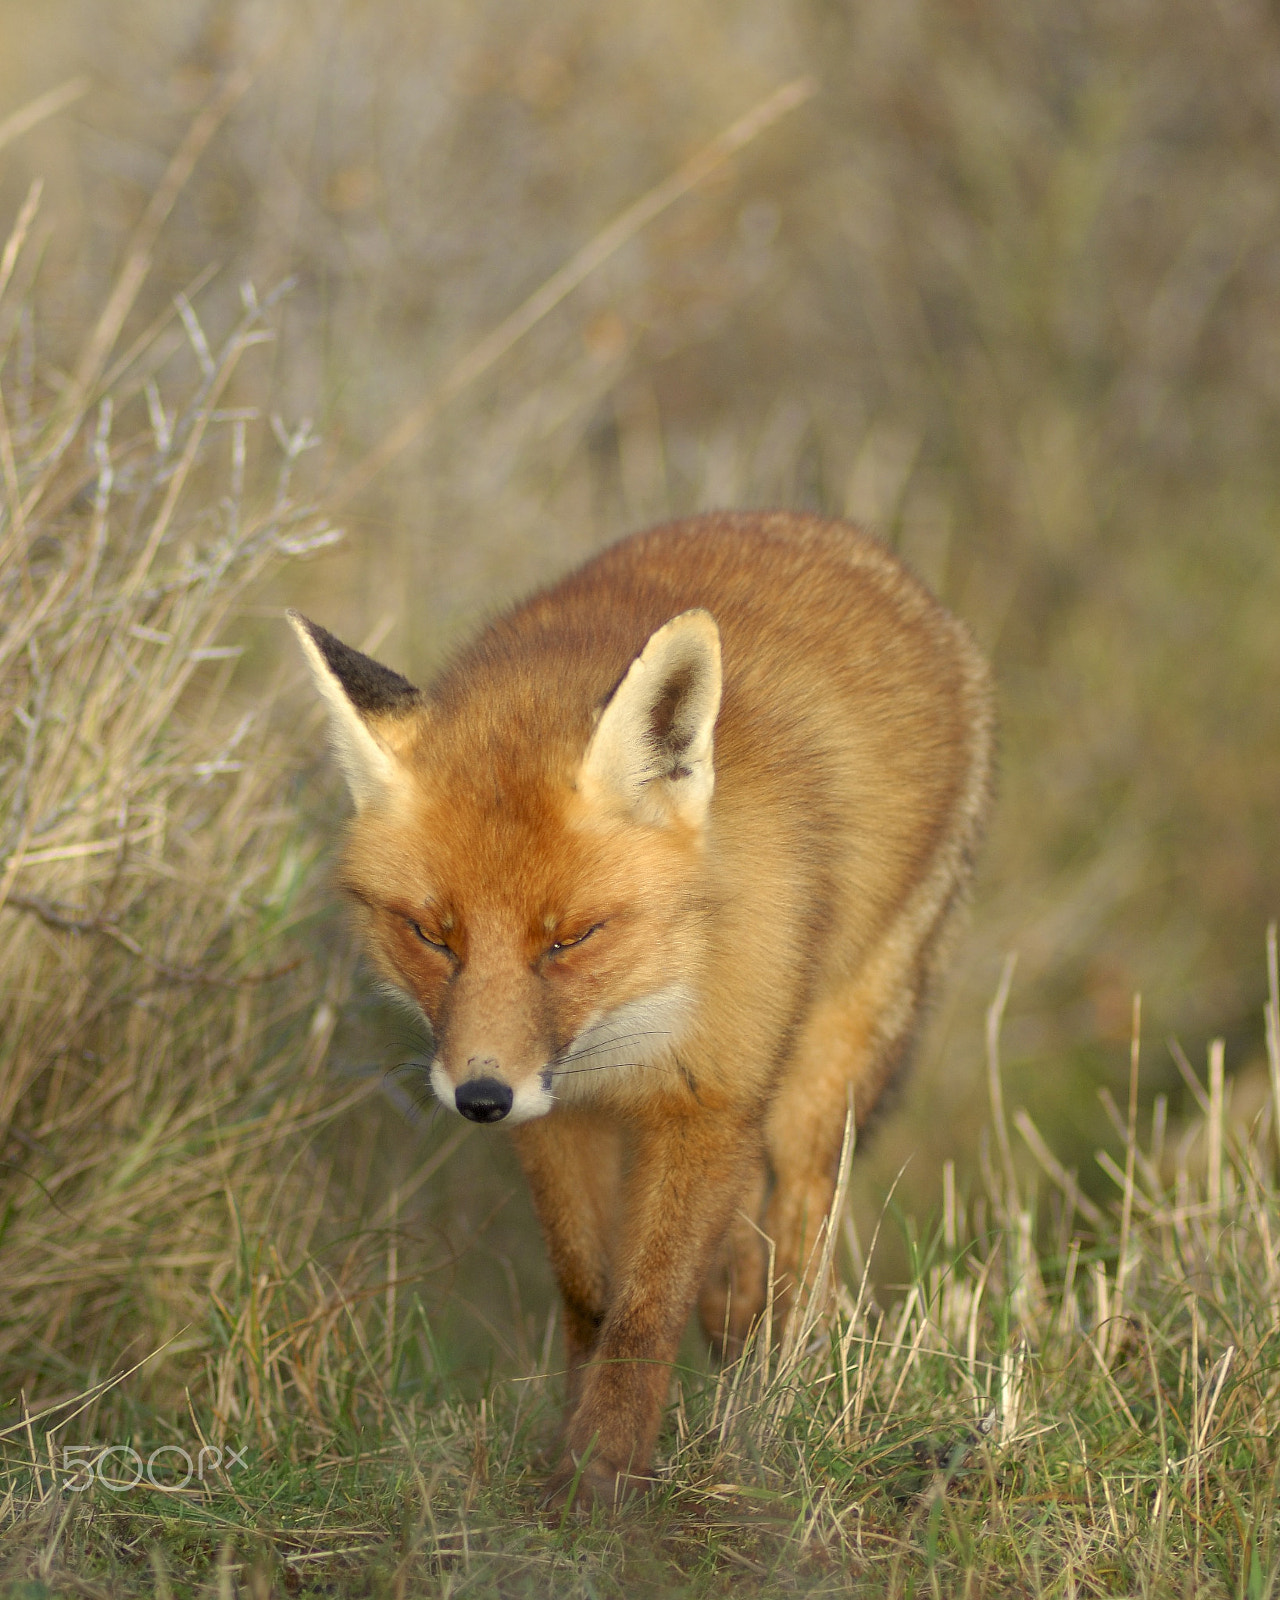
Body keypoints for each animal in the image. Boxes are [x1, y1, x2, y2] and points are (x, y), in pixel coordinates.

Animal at [289, 508, 992, 1497]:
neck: (630, 1026)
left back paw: (780, 1394)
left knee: (799, 1229)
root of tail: (817, 527)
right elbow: (591, 1299)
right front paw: (567, 1455)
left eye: (572, 937)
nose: (479, 1098)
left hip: (821, 1077)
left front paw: (604, 1478)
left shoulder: (713, 1099)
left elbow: (644, 1313)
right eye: (434, 935)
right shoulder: (557, 1114)